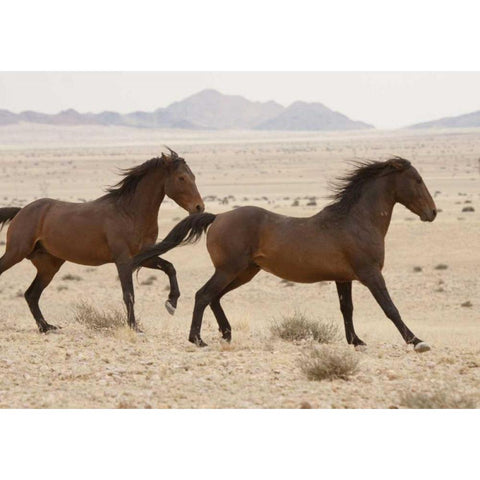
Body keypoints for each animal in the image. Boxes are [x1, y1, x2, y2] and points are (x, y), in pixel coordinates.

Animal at [0, 148, 204, 332]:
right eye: (181, 178)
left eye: (193, 177)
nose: (199, 207)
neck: (129, 213)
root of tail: (21, 211)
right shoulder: (123, 260)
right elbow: (129, 294)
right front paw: (134, 326)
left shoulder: (143, 257)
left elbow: (170, 267)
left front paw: (171, 303)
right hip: (16, 253)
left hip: (48, 266)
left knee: (31, 295)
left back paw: (46, 327)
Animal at [133, 158, 436, 352]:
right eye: (418, 180)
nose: (432, 212)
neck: (356, 221)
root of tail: (218, 217)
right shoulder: (371, 274)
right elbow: (390, 308)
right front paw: (417, 341)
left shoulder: (344, 278)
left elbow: (347, 309)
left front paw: (357, 342)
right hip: (230, 270)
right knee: (203, 295)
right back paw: (198, 340)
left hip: (244, 272)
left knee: (214, 297)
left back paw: (226, 334)